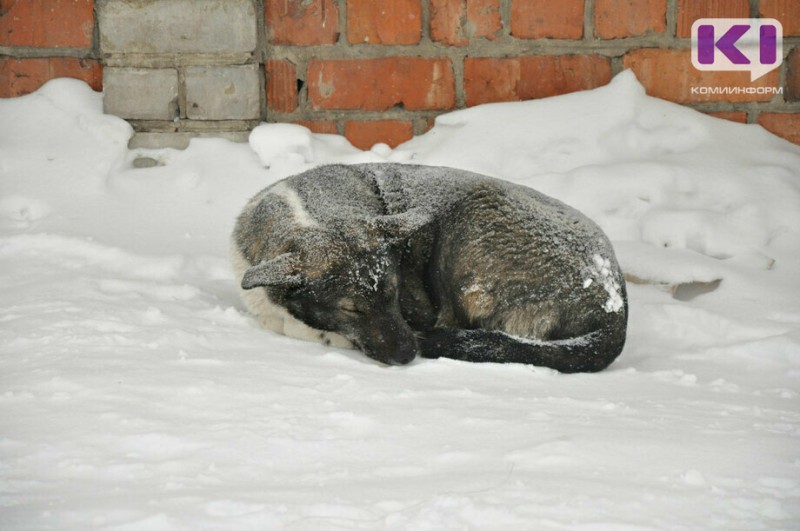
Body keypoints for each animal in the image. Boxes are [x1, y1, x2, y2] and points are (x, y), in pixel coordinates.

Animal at [228, 164, 628, 372]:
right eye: (351, 309)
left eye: (393, 293)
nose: (408, 354)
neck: (306, 210)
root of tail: (616, 306)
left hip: (471, 218)